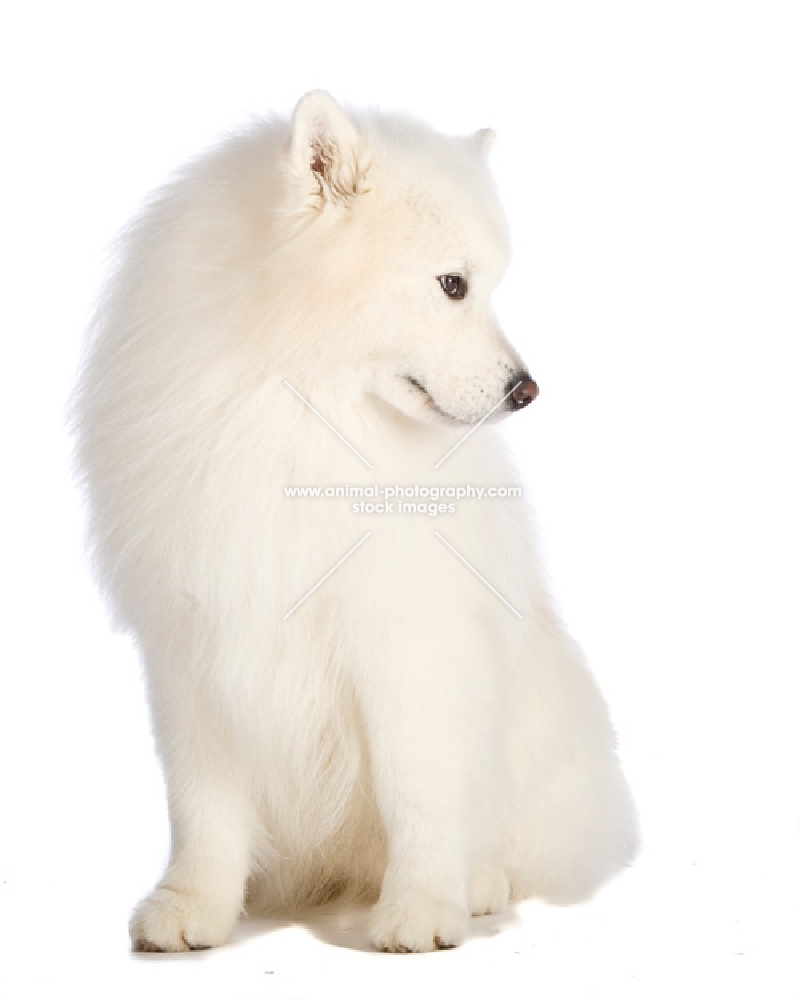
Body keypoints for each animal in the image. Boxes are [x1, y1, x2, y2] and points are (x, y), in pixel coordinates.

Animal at [73, 92, 636, 952]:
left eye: (484, 285)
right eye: (452, 284)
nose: (528, 390)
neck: (292, 412)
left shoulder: (404, 645)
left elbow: (419, 788)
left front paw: (421, 908)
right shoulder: (195, 647)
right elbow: (202, 805)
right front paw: (195, 904)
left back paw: (477, 882)